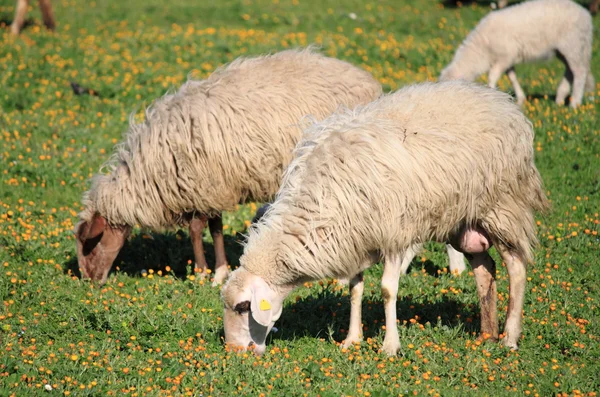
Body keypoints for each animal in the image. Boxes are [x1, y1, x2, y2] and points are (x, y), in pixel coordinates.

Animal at [75, 48, 380, 286]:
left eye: (89, 245)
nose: (89, 282)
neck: (147, 172)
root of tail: (368, 81)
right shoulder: (213, 189)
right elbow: (216, 228)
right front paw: (220, 271)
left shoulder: (200, 185)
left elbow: (196, 230)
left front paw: (200, 273)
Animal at [221, 81, 548, 356]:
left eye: (243, 307)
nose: (235, 352)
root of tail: (500, 100)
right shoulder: (354, 239)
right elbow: (355, 290)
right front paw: (352, 339)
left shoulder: (394, 233)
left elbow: (388, 291)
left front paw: (390, 346)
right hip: (464, 221)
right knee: (485, 269)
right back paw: (486, 334)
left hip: (503, 206)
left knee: (516, 267)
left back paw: (509, 337)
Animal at [440, 0, 596, 107]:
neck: (481, 49)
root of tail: (586, 15)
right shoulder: (508, 60)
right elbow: (512, 77)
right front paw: (520, 99)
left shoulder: (505, 57)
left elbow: (493, 76)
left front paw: (492, 92)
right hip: (565, 50)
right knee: (570, 71)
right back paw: (560, 98)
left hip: (572, 44)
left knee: (579, 72)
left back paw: (575, 103)